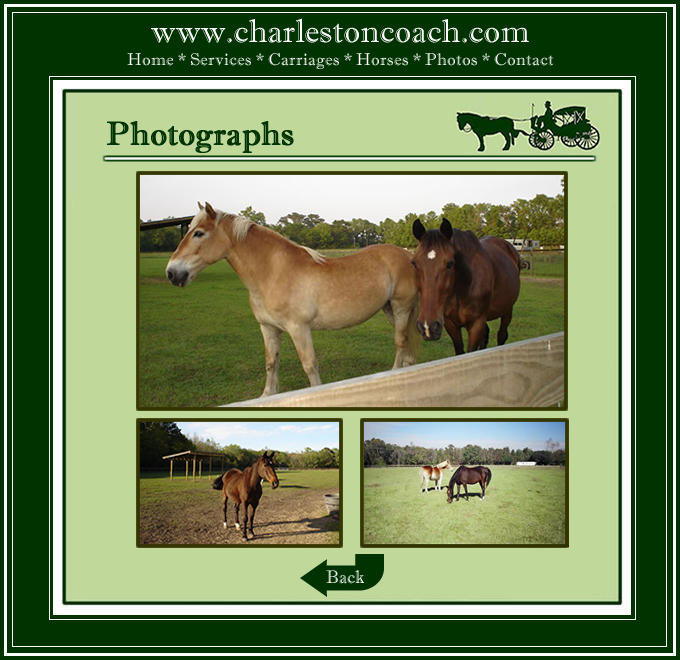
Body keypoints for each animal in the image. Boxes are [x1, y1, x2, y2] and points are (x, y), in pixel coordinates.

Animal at [166, 202, 420, 397]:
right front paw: (267, 395)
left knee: (400, 341)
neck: (274, 272)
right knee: (405, 343)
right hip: (390, 309)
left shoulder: (299, 329)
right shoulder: (268, 328)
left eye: (199, 233)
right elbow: (271, 363)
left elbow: (309, 366)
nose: (172, 273)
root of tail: (407, 255)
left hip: (401, 307)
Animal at [411, 218, 521, 354]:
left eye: (450, 264)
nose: (427, 327)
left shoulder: (476, 324)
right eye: (414, 263)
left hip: (507, 309)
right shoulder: (450, 324)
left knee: (502, 335)